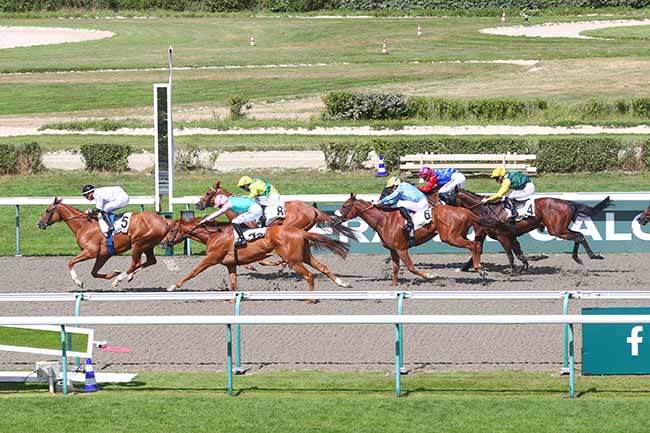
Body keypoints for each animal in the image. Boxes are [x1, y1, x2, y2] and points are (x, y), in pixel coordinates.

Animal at [35, 198, 170, 286]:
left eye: (47, 210)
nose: (39, 224)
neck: (83, 225)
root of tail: (163, 221)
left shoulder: (91, 252)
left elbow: (71, 262)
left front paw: (78, 281)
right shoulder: (103, 254)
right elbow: (94, 272)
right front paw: (113, 273)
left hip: (138, 244)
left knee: (135, 263)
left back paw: (119, 279)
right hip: (147, 245)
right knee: (150, 261)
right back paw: (128, 276)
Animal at [161, 216, 352, 296]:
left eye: (171, 229)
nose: (162, 243)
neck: (213, 235)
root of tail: (300, 231)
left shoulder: (211, 258)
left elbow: (192, 272)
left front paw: (172, 286)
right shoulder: (231, 264)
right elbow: (233, 284)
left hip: (293, 260)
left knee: (309, 276)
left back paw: (310, 299)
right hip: (304, 256)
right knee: (323, 268)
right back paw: (343, 283)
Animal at [334, 193, 496, 284]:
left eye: (345, 206)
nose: (334, 219)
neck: (383, 220)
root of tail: (467, 212)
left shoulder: (401, 249)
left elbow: (411, 267)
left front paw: (430, 275)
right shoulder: (393, 249)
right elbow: (395, 268)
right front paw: (393, 286)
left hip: (450, 237)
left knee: (473, 245)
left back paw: (479, 269)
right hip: (458, 234)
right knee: (477, 244)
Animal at [448, 190, 612, 266]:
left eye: (448, 196)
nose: (445, 211)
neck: (486, 209)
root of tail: (569, 203)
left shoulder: (503, 235)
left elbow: (510, 254)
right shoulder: (511, 235)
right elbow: (518, 253)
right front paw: (524, 266)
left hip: (557, 230)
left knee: (579, 236)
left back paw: (589, 256)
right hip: (560, 229)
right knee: (579, 235)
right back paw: (581, 257)